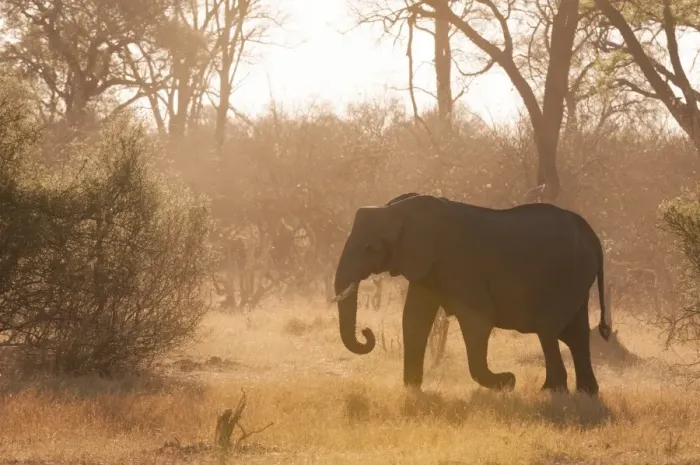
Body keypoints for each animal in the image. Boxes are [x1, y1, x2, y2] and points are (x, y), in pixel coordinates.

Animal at [332, 193, 611, 395]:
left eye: (371, 247)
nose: (367, 332)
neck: (399, 208)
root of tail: (594, 237)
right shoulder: (427, 266)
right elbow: (414, 318)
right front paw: (412, 389)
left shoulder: (459, 264)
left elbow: (478, 319)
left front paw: (507, 383)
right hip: (576, 278)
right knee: (575, 333)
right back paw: (586, 394)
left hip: (566, 276)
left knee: (548, 329)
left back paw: (552, 392)